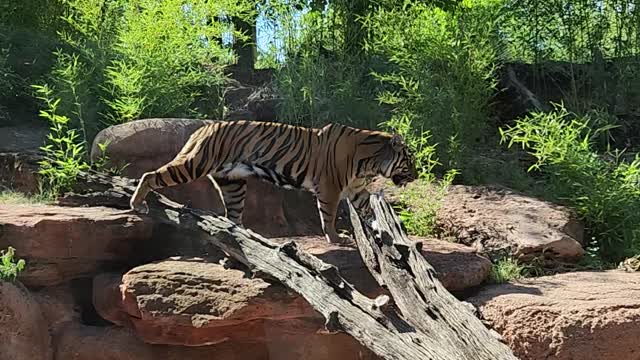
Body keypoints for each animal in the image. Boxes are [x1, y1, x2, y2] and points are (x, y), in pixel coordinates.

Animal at [131, 121, 420, 245]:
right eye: (410, 160)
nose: (416, 176)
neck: (370, 162)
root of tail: (203, 128)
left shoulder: (357, 189)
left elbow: (368, 210)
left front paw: (380, 228)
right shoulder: (330, 188)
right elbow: (327, 216)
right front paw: (336, 238)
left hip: (233, 184)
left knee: (232, 216)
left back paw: (244, 236)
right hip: (194, 164)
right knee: (150, 176)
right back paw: (137, 204)